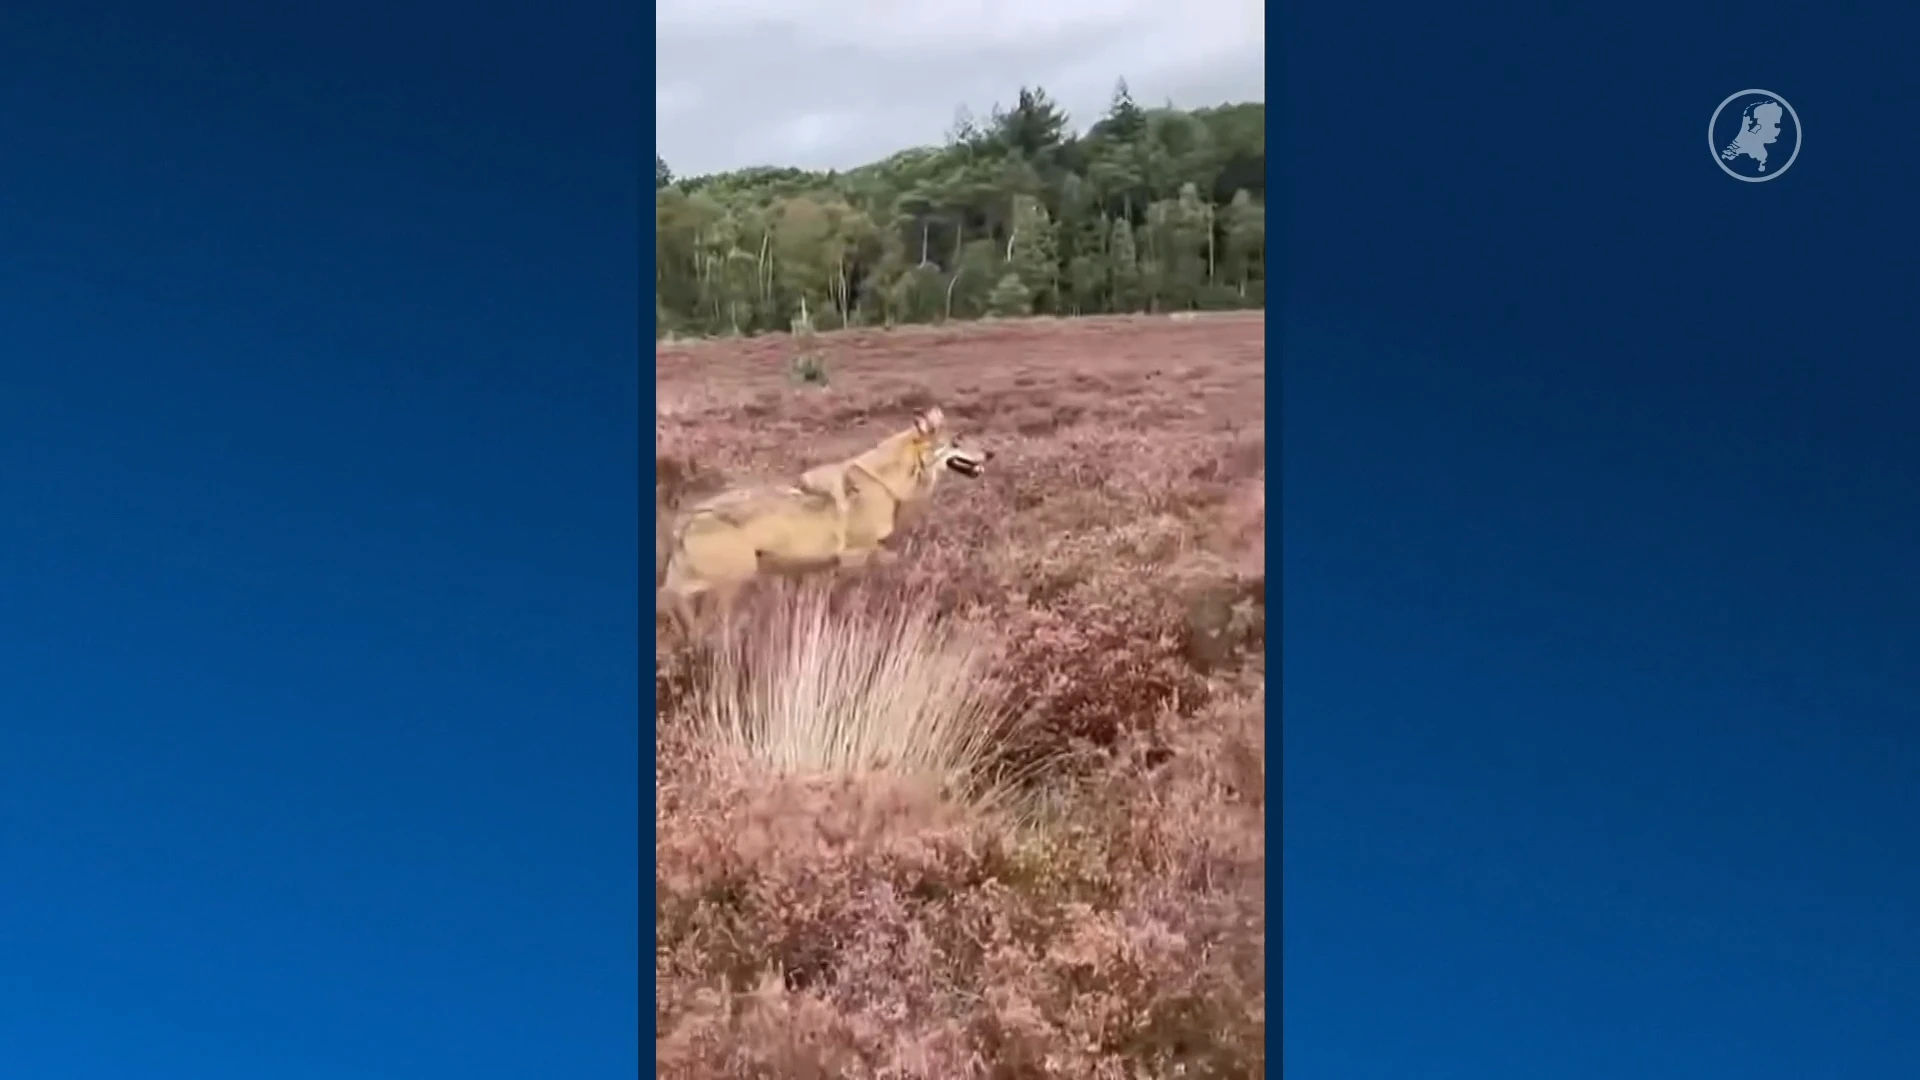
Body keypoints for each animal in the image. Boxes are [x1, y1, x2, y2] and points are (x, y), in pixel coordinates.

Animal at [656, 406, 990, 636]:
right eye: (958, 440)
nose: (990, 454)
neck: (885, 482)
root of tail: (684, 521)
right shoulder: (855, 555)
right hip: (735, 581)